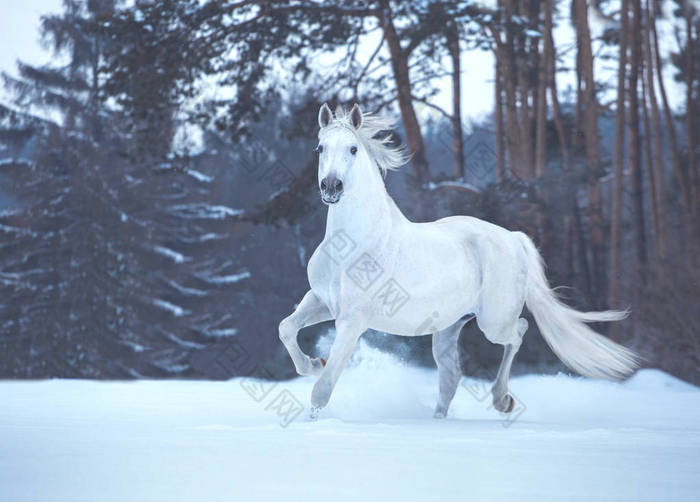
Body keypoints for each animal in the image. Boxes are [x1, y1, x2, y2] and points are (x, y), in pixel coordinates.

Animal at [278, 103, 640, 420]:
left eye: (353, 149)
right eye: (320, 148)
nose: (331, 186)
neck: (354, 245)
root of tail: (512, 238)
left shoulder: (353, 320)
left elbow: (322, 389)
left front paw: (314, 411)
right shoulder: (321, 301)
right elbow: (286, 329)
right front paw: (313, 363)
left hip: (493, 322)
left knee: (519, 332)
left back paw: (502, 400)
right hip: (449, 327)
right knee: (451, 376)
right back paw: (441, 420)